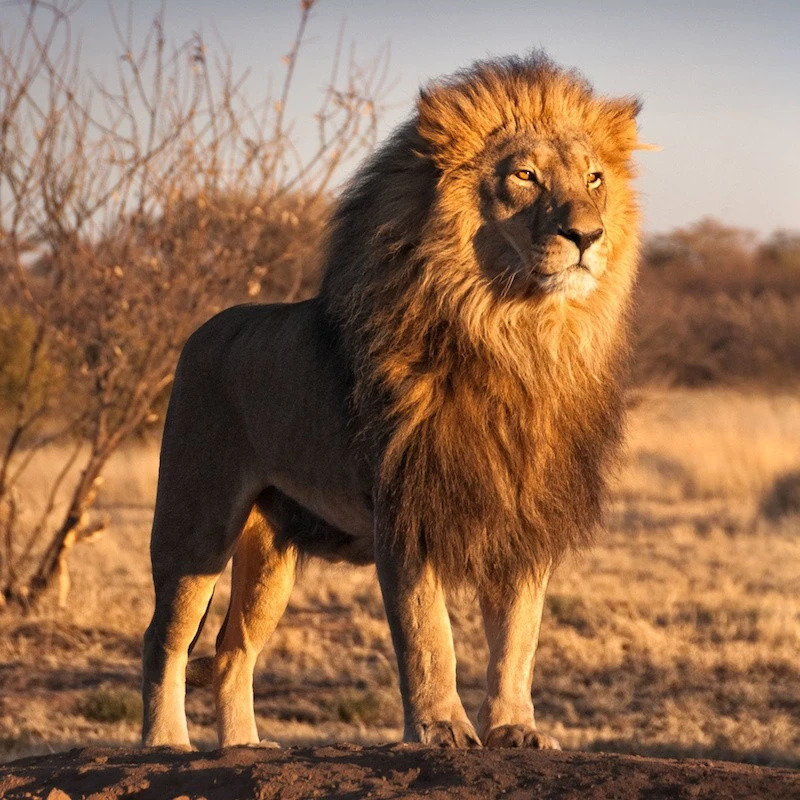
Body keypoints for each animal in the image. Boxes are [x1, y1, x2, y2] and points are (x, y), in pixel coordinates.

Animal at [142, 53, 650, 750]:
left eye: (595, 178)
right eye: (524, 176)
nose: (587, 235)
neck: (517, 336)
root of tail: (202, 330)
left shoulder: (525, 515)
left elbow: (518, 639)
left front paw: (515, 729)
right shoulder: (406, 508)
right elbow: (427, 634)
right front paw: (440, 729)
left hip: (271, 550)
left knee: (232, 649)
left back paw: (244, 746)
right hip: (196, 521)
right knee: (163, 638)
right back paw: (165, 743)